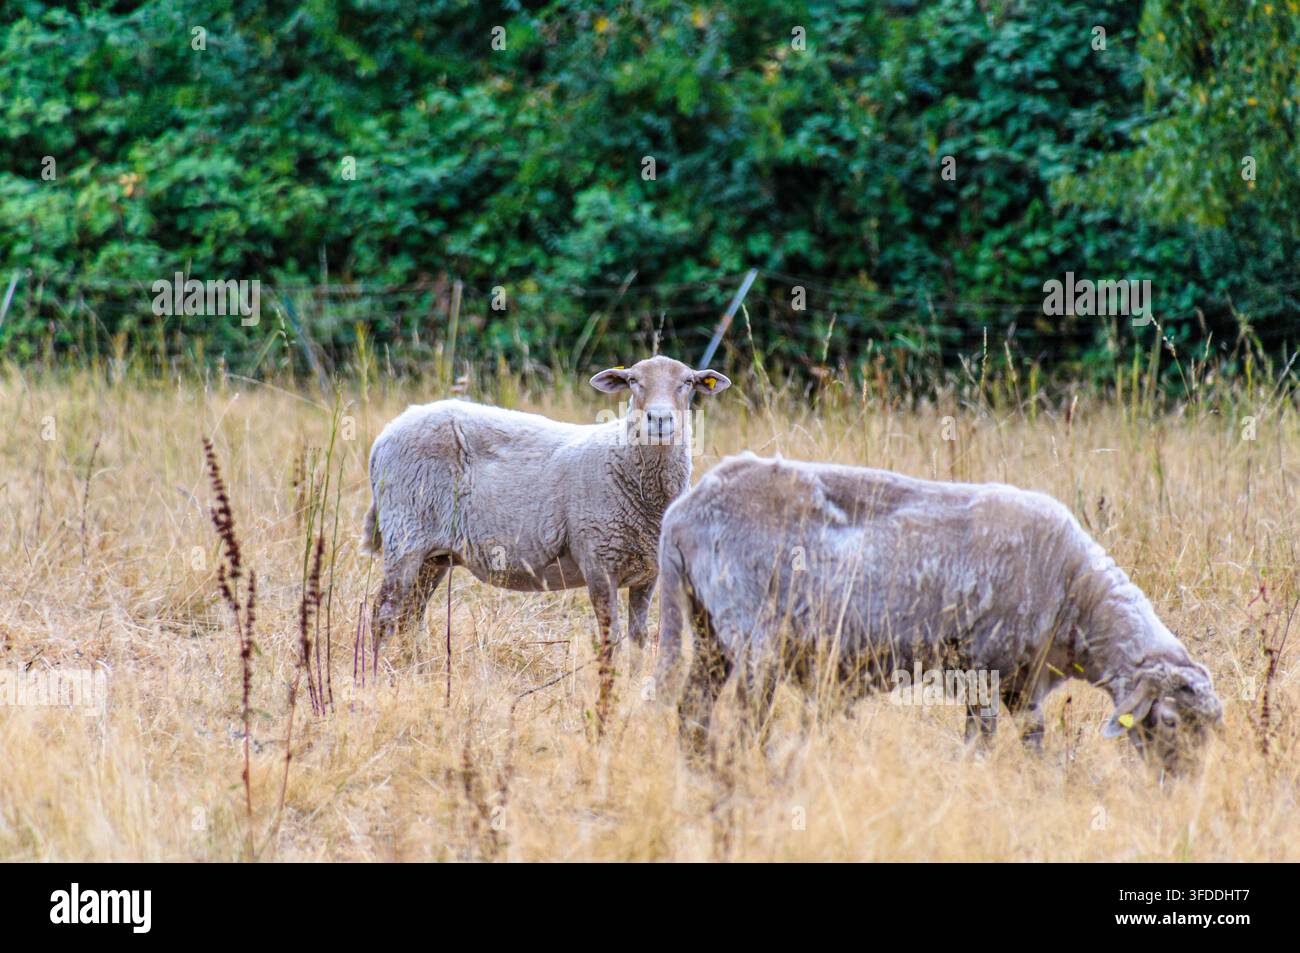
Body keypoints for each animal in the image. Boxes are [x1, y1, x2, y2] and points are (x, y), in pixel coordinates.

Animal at [363, 355, 731, 661]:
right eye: (632, 381)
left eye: (687, 382)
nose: (660, 419)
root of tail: (385, 436)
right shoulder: (598, 562)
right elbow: (610, 638)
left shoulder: (648, 572)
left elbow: (639, 638)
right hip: (406, 533)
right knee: (383, 613)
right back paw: (377, 674)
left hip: (433, 555)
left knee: (410, 616)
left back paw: (412, 667)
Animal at [656, 452, 1222, 769]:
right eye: (1171, 721)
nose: (1180, 786)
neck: (1076, 594)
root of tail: (682, 512)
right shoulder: (989, 663)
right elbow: (988, 737)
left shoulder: (1020, 678)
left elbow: (1028, 737)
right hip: (754, 632)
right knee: (744, 717)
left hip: (709, 629)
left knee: (692, 710)